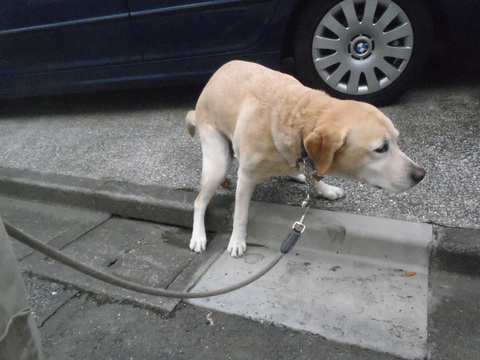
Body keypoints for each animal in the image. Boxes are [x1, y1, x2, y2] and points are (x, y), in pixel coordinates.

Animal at [186, 62, 426, 258]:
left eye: (396, 140)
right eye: (381, 148)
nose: (420, 175)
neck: (298, 118)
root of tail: (215, 75)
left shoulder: (308, 157)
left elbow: (315, 173)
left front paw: (325, 189)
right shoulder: (246, 177)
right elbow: (240, 215)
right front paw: (237, 241)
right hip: (217, 163)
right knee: (199, 202)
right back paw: (198, 236)